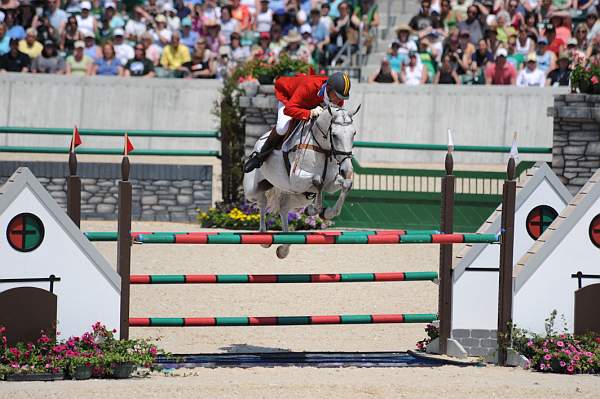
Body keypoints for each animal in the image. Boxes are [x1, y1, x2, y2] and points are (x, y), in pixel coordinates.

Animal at [241, 104, 358, 260]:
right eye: (334, 135)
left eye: (354, 133)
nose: (347, 169)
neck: (324, 149)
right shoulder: (296, 179)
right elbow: (318, 180)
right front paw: (315, 210)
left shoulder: (331, 183)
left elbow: (345, 184)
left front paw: (326, 213)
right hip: (253, 191)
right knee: (262, 202)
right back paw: (264, 237)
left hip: (297, 197)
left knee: (284, 209)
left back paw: (284, 248)